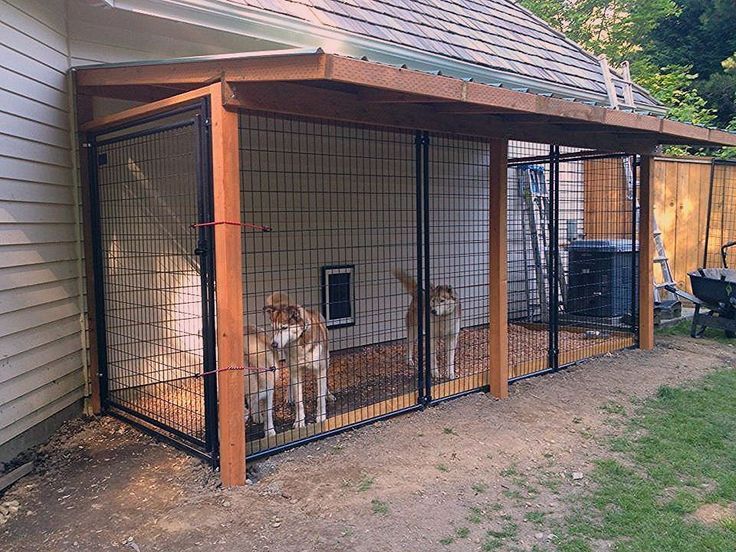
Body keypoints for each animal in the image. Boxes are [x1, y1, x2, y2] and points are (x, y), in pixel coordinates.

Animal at [264, 294, 330, 426]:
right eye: (272, 328)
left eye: (284, 328)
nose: (273, 344)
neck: (300, 341)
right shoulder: (296, 370)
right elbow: (299, 401)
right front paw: (299, 422)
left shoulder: (321, 368)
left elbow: (320, 397)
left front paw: (321, 416)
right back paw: (289, 396)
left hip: (327, 359)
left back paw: (328, 394)